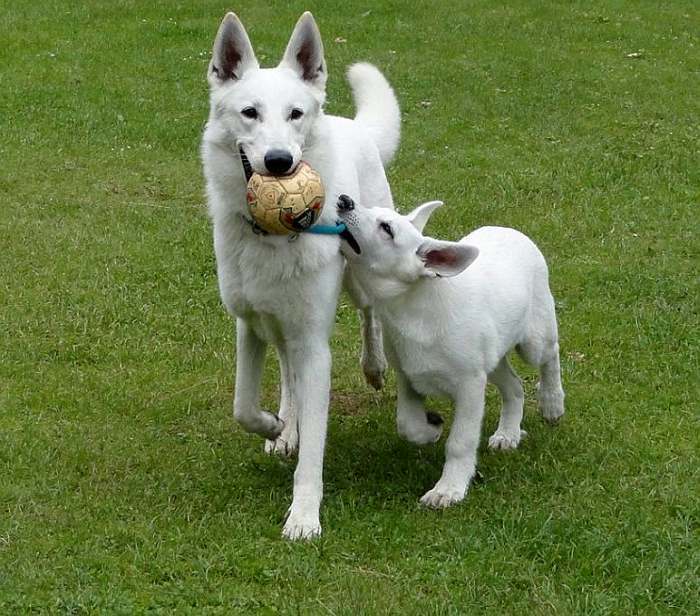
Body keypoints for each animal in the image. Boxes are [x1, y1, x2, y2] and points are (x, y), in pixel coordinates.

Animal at [336, 200, 568, 508]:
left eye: (387, 228)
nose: (344, 200)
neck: (411, 310)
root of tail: (511, 231)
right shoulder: (409, 377)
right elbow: (407, 425)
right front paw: (431, 428)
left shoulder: (469, 387)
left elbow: (460, 442)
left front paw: (448, 489)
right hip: (492, 359)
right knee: (515, 386)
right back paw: (508, 433)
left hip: (534, 339)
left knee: (550, 355)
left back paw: (552, 402)